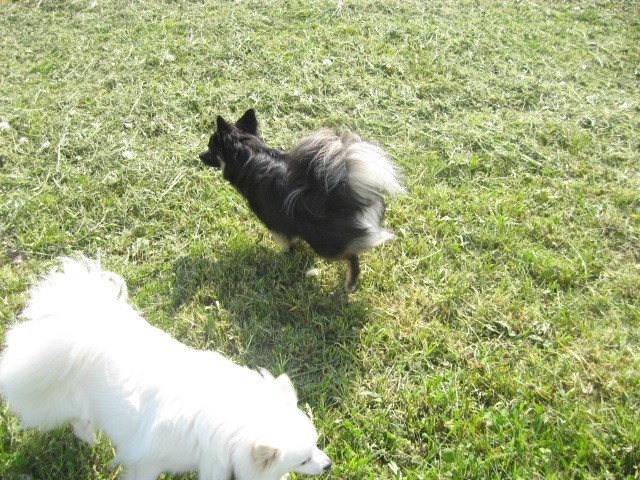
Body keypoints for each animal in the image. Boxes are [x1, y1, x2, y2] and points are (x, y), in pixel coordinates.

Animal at [0, 258, 330, 480]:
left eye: (317, 446)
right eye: (303, 460)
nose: (328, 464)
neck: (232, 418)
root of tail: (82, 327)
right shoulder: (150, 461)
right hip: (69, 398)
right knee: (77, 421)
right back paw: (90, 439)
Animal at [200, 110, 402, 290]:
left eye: (210, 148)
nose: (199, 155)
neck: (250, 156)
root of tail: (343, 192)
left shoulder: (276, 223)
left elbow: (285, 242)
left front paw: (285, 255)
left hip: (323, 243)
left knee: (351, 256)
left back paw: (350, 283)